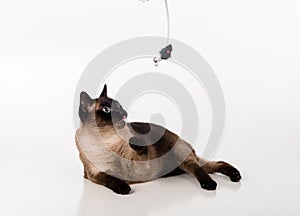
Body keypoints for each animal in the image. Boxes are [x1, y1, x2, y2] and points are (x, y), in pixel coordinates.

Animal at [75, 85, 241, 195]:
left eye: (119, 105)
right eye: (106, 110)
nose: (124, 113)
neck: (106, 141)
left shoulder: (140, 166)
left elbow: (139, 149)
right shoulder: (94, 175)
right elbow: (109, 179)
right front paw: (124, 188)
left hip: (182, 156)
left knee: (199, 167)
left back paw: (214, 183)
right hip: (182, 164)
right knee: (212, 165)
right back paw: (234, 176)